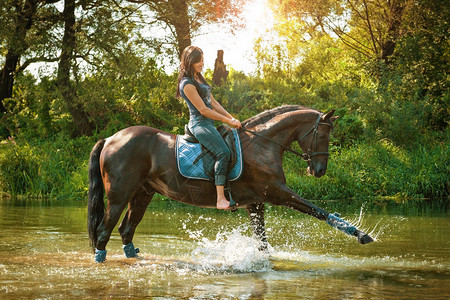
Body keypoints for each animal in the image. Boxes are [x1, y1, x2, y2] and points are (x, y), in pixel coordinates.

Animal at [87, 105, 372, 262]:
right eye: (323, 134)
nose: (319, 171)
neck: (263, 144)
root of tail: (111, 138)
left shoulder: (256, 203)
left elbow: (262, 242)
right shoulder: (277, 193)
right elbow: (319, 211)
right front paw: (361, 234)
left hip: (143, 194)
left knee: (126, 230)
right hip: (119, 195)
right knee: (103, 232)